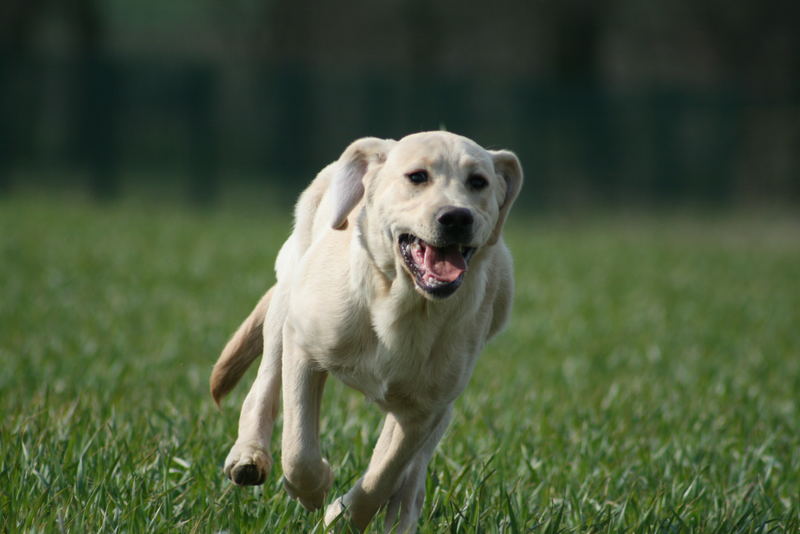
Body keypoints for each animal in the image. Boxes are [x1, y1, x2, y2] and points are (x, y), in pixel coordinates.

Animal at [212, 132, 520, 532]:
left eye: (478, 182)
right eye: (417, 177)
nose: (456, 216)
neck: (402, 305)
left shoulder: (426, 408)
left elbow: (385, 471)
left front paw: (343, 516)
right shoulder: (303, 346)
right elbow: (298, 448)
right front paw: (314, 491)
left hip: (444, 404)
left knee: (411, 480)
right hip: (287, 299)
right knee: (264, 385)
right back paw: (248, 457)